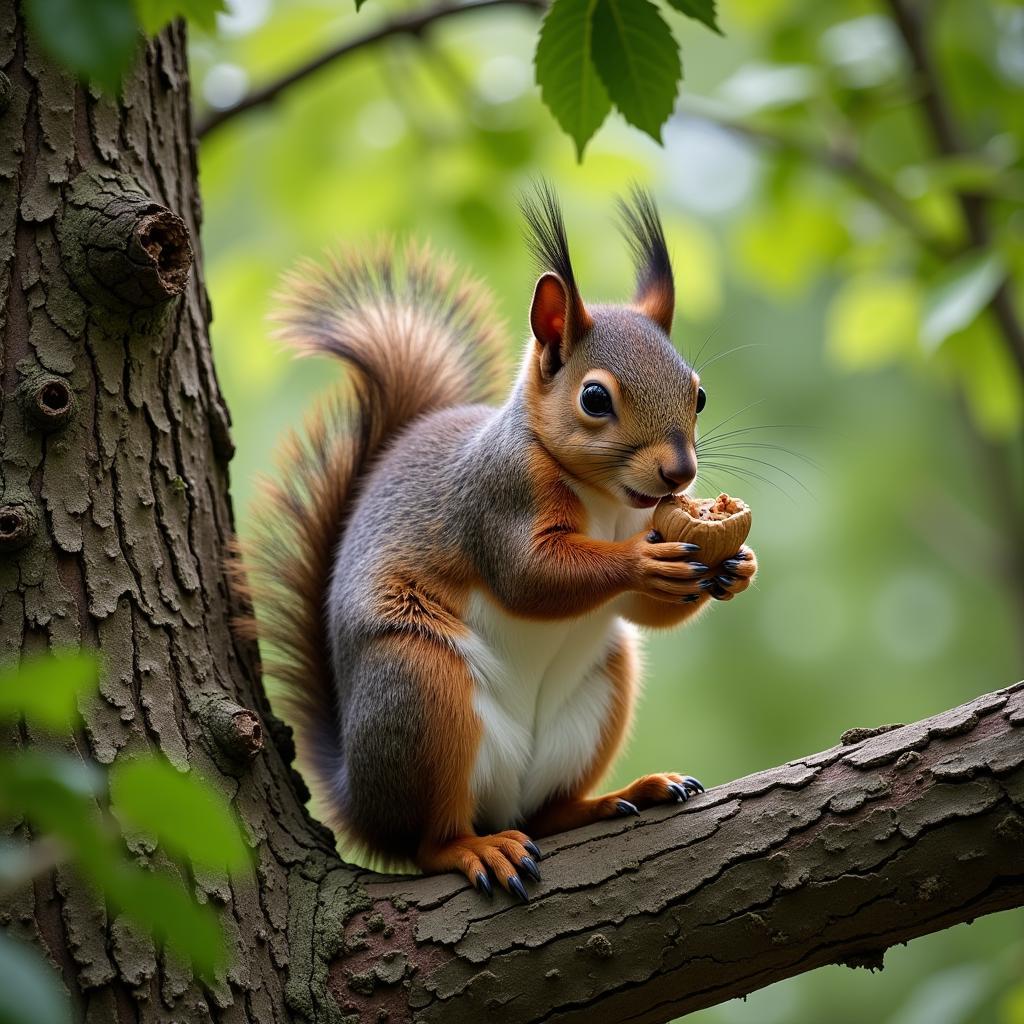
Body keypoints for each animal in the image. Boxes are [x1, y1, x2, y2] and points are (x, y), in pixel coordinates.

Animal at [235, 186, 757, 905]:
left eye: (698, 394)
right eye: (595, 398)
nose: (680, 474)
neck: (609, 502)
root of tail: (360, 804)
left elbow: (642, 613)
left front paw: (735, 564)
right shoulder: (497, 498)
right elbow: (529, 575)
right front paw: (642, 563)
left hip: (600, 692)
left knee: (545, 812)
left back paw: (617, 797)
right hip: (422, 688)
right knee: (429, 842)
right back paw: (476, 847)